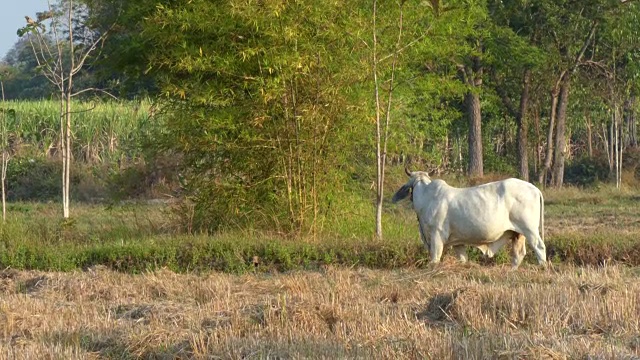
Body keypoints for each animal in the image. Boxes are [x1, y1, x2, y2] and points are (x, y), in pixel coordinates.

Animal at [392, 169, 548, 268]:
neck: (426, 197)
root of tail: (534, 188)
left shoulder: (436, 235)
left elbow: (435, 258)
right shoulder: (457, 242)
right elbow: (463, 259)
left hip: (530, 230)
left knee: (539, 247)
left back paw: (543, 267)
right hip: (517, 233)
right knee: (518, 254)